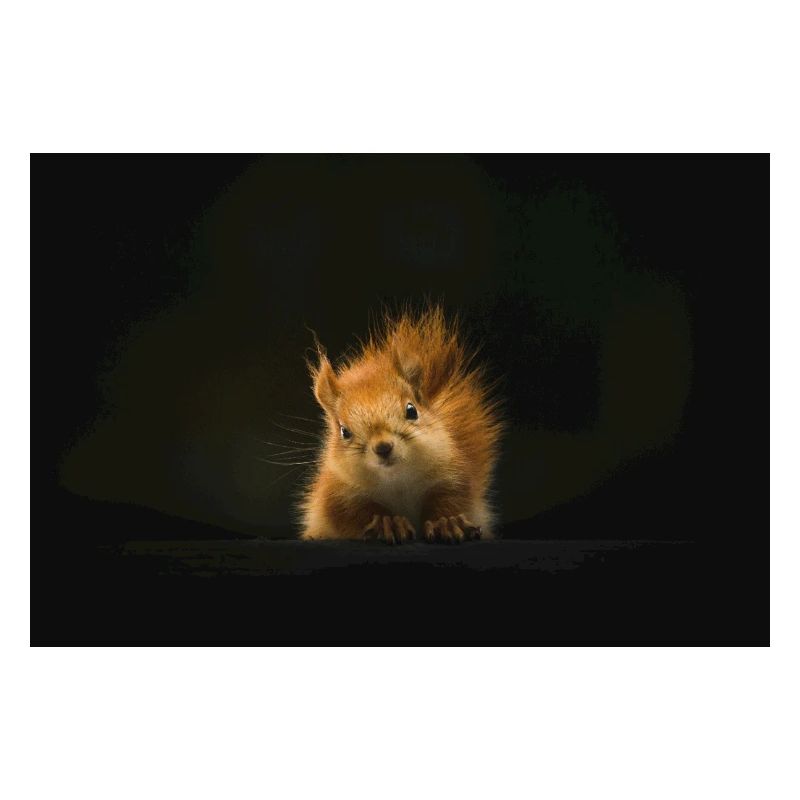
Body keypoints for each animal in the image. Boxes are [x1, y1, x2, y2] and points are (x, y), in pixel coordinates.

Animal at [299, 306, 503, 544]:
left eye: (412, 410)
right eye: (344, 431)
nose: (383, 447)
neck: (397, 480)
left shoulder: (452, 475)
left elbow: (451, 499)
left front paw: (446, 522)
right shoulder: (337, 494)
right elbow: (353, 513)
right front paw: (387, 523)